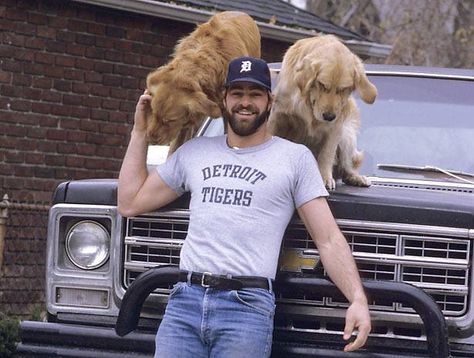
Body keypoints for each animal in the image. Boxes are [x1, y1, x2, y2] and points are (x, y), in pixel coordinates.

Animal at [270, 34, 378, 190]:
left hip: (347, 136)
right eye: (322, 85)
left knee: (346, 169)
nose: (328, 116)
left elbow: (326, 153)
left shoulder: (335, 127)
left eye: (343, 89)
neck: (308, 104)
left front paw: (324, 177)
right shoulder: (278, 116)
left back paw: (357, 178)